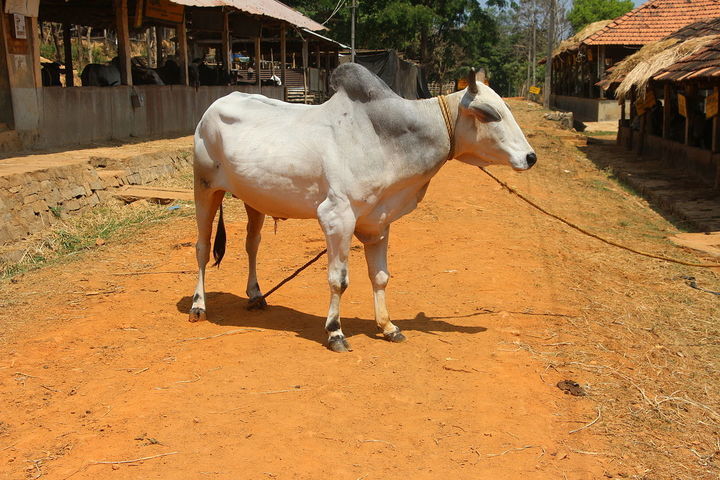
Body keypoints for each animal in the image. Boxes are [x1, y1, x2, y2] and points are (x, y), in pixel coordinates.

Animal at [188, 62, 536, 350]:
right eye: (490, 114)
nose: (530, 157)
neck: (386, 138)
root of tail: (213, 107)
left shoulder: (378, 222)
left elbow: (380, 276)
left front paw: (388, 326)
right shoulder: (336, 217)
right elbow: (338, 279)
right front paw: (335, 332)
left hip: (254, 199)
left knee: (252, 244)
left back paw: (256, 294)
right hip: (204, 189)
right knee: (203, 248)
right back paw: (198, 305)